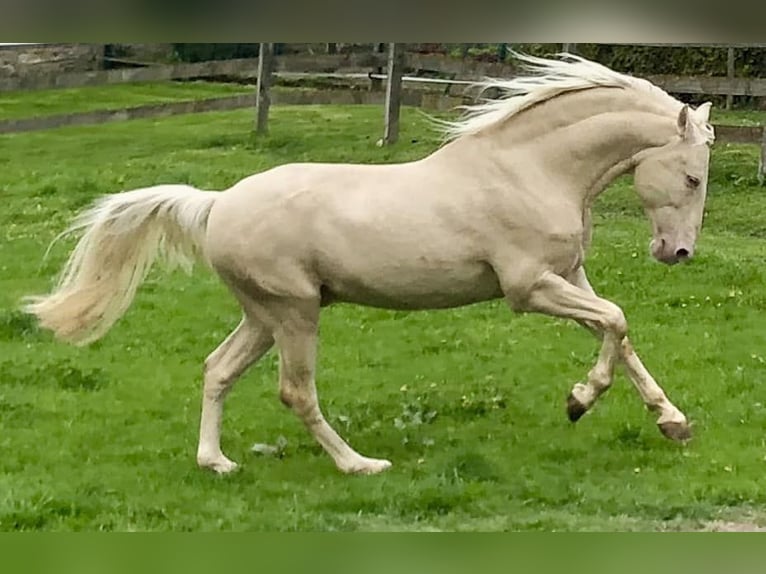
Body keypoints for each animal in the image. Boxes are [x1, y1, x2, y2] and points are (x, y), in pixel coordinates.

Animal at [25, 54, 720, 476]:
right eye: (691, 178)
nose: (677, 253)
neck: (530, 170)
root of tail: (218, 202)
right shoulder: (528, 288)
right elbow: (617, 321)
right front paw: (580, 401)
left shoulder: (569, 277)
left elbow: (620, 334)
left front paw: (673, 423)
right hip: (295, 312)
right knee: (294, 390)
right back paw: (358, 465)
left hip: (264, 315)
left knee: (217, 369)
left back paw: (216, 463)